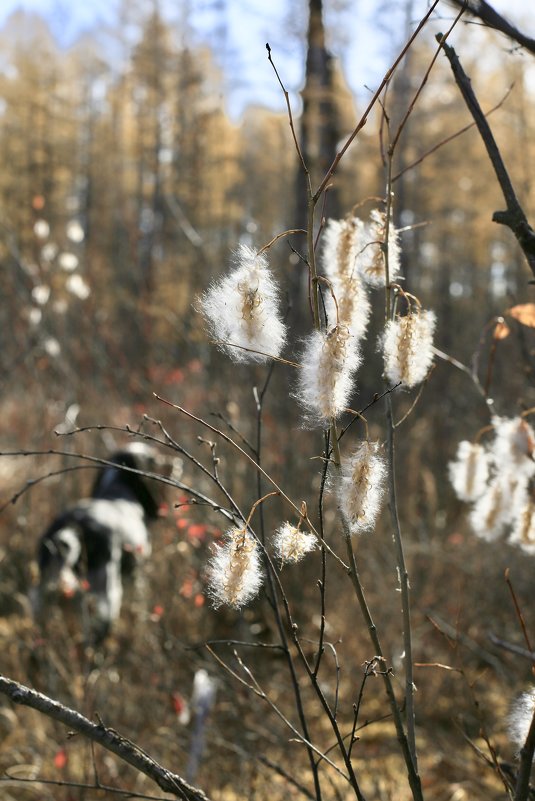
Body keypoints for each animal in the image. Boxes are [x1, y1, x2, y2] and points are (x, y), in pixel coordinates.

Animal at [35, 440, 169, 640]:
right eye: (154, 457)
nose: (171, 462)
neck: (118, 489)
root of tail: (74, 525)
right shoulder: (138, 572)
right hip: (107, 593)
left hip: (44, 588)